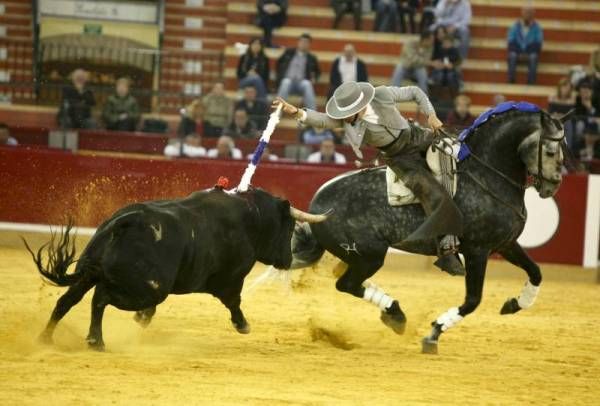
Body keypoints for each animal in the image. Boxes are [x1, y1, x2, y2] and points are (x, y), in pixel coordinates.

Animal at [25, 186, 326, 348]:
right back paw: (95, 341)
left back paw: (45, 339)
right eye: (289, 226)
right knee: (100, 298)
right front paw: (243, 326)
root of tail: (124, 222)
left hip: (91, 273)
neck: (251, 217)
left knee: (67, 301)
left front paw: (143, 318)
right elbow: (234, 302)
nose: (287, 260)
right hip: (145, 288)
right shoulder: (231, 279)